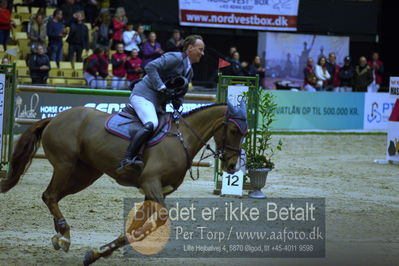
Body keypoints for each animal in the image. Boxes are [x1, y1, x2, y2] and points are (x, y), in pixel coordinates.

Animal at [0, 102, 247, 264]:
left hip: (85, 174)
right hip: (65, 164)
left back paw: (60, 235)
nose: (232, 166)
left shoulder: (154, 191)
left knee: (51, 196)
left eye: (244, 132)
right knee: (50, 195)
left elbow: (136, 225)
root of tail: (56, 117)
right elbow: (156, 221)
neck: (181, 140)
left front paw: (100, 252)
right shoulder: (150, 182)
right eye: (234, 130)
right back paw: (64, 235)